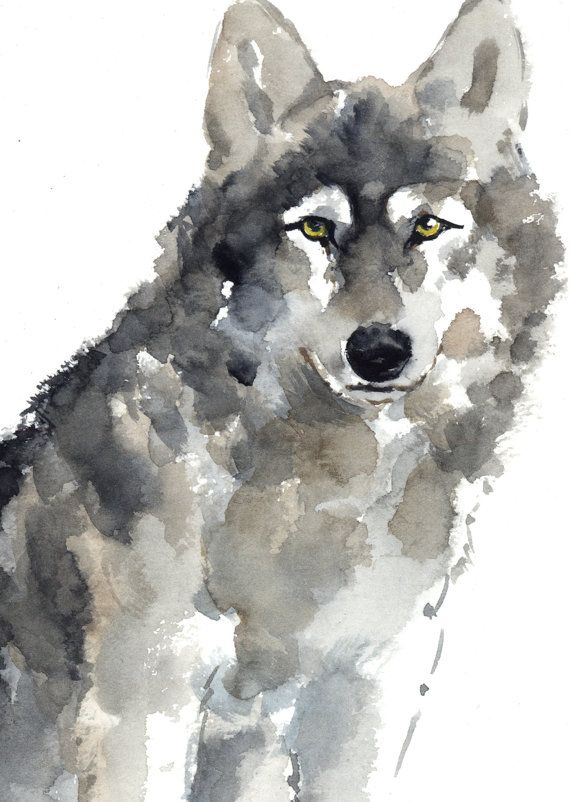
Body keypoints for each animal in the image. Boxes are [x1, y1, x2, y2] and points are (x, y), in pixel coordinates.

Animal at [0, 0, 562, 800]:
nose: (378, 351)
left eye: (427, 226)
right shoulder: (145, 699)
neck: (325, 488)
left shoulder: (368, 687)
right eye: (315, 228)